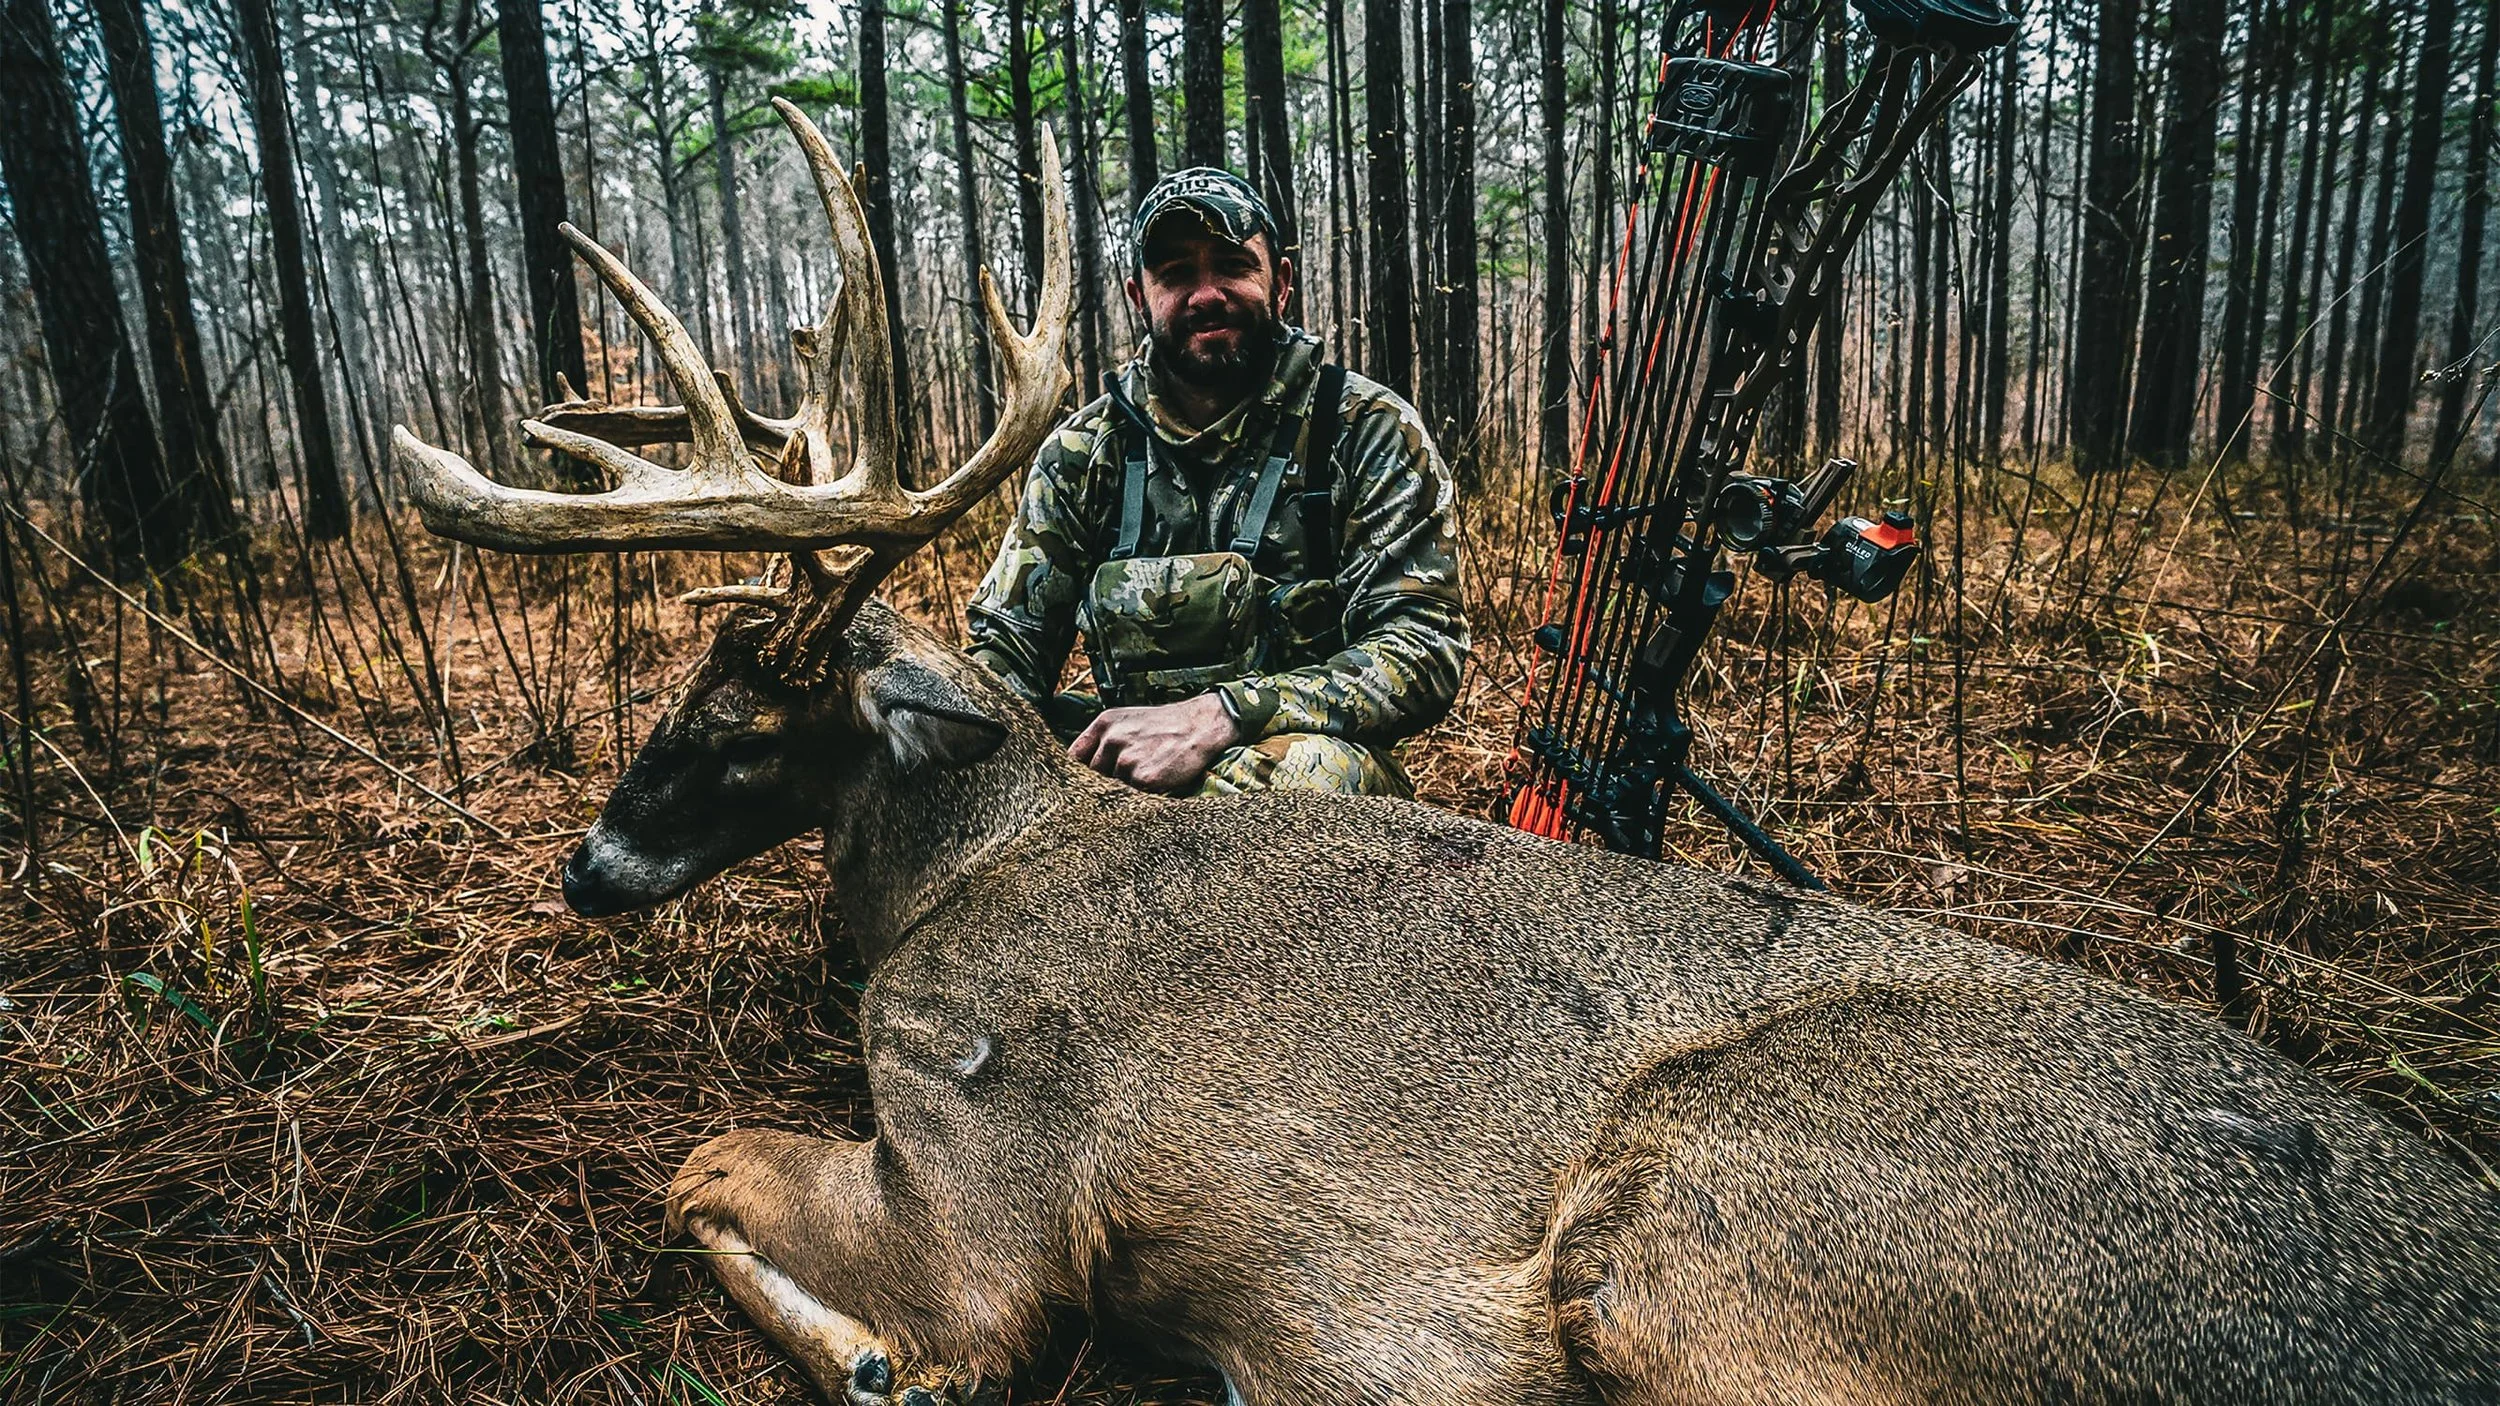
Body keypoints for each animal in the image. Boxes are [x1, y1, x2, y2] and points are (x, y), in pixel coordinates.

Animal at [390, 101, 2500, 1406]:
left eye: (740, 702)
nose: (585, 863)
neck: (966, 868)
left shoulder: (994, 1166)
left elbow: (726, 1188)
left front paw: (873, 1354)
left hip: (1710, 1215)